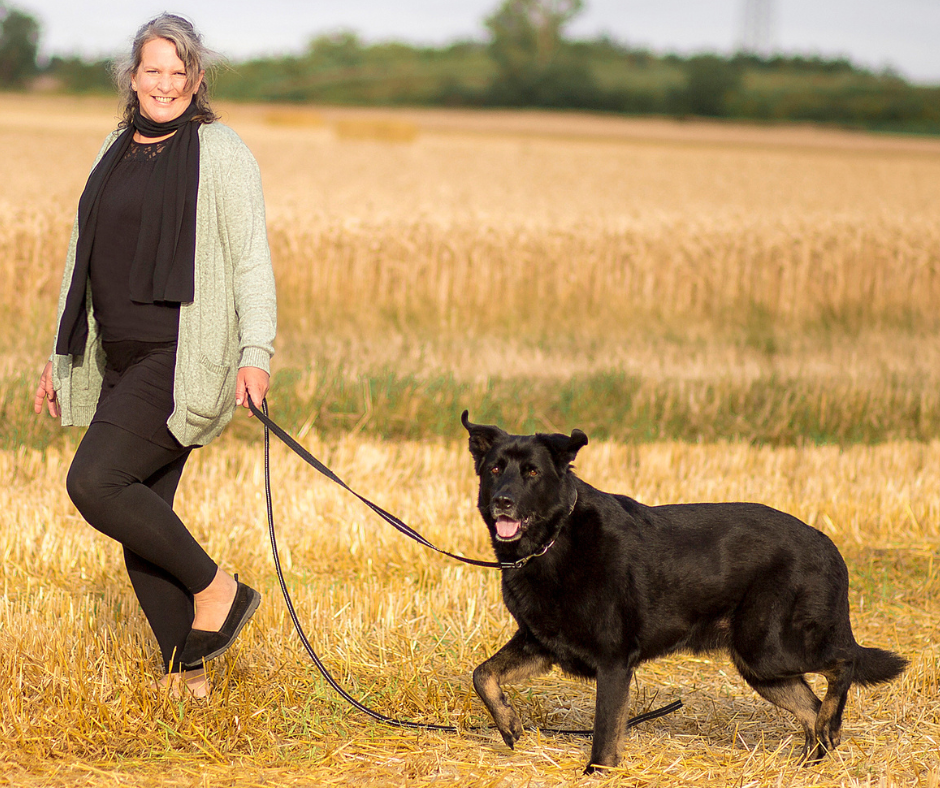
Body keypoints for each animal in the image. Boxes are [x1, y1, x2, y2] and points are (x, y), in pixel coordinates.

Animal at [460, 416, 904, 772]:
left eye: (532, 472)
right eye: (496, 468)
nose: (502, 502)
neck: (553, 541)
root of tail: (828, 544)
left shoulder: (613, 661)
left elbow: (604, 734)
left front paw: (598, 774)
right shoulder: (540, 645)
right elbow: (483, 674)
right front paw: (509, 723)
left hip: (768, 648)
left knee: (843, 662)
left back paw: (829, 727)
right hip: (759, 665)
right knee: (811, 709)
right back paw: (810, 761)